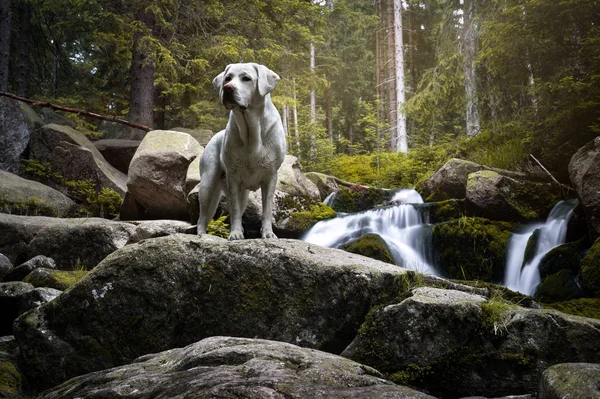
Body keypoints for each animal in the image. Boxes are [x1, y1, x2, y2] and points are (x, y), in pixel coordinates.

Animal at [196, 62, 288, 241]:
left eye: (246, 78)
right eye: (227, 78)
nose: (227, 88)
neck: (251, 131)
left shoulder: (270, 176)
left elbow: (267, 210)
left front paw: (268, 233)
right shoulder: (233, 178)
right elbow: (235, 210)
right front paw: (236, 233)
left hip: (243, 194)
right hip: (207, 184)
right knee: (202, 216)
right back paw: (202, 235)